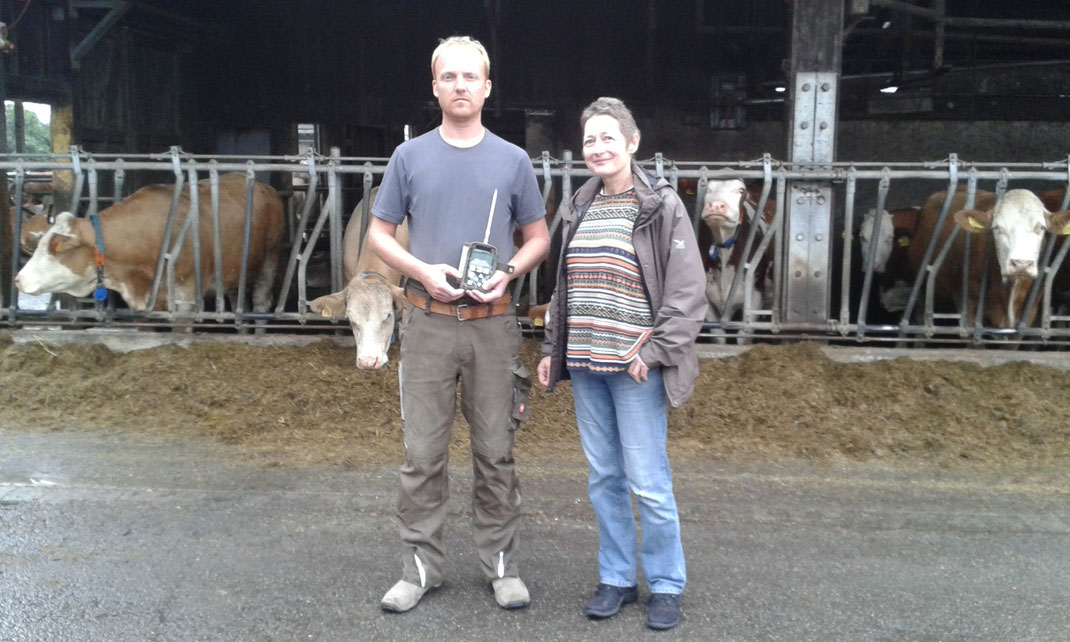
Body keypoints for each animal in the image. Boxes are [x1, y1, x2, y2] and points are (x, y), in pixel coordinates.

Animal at [15, 174, 284, 314]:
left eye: (57, 249)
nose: (18, 279)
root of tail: (266, 188)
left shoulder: (185, 299)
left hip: (270, 260)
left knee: (261, 303)